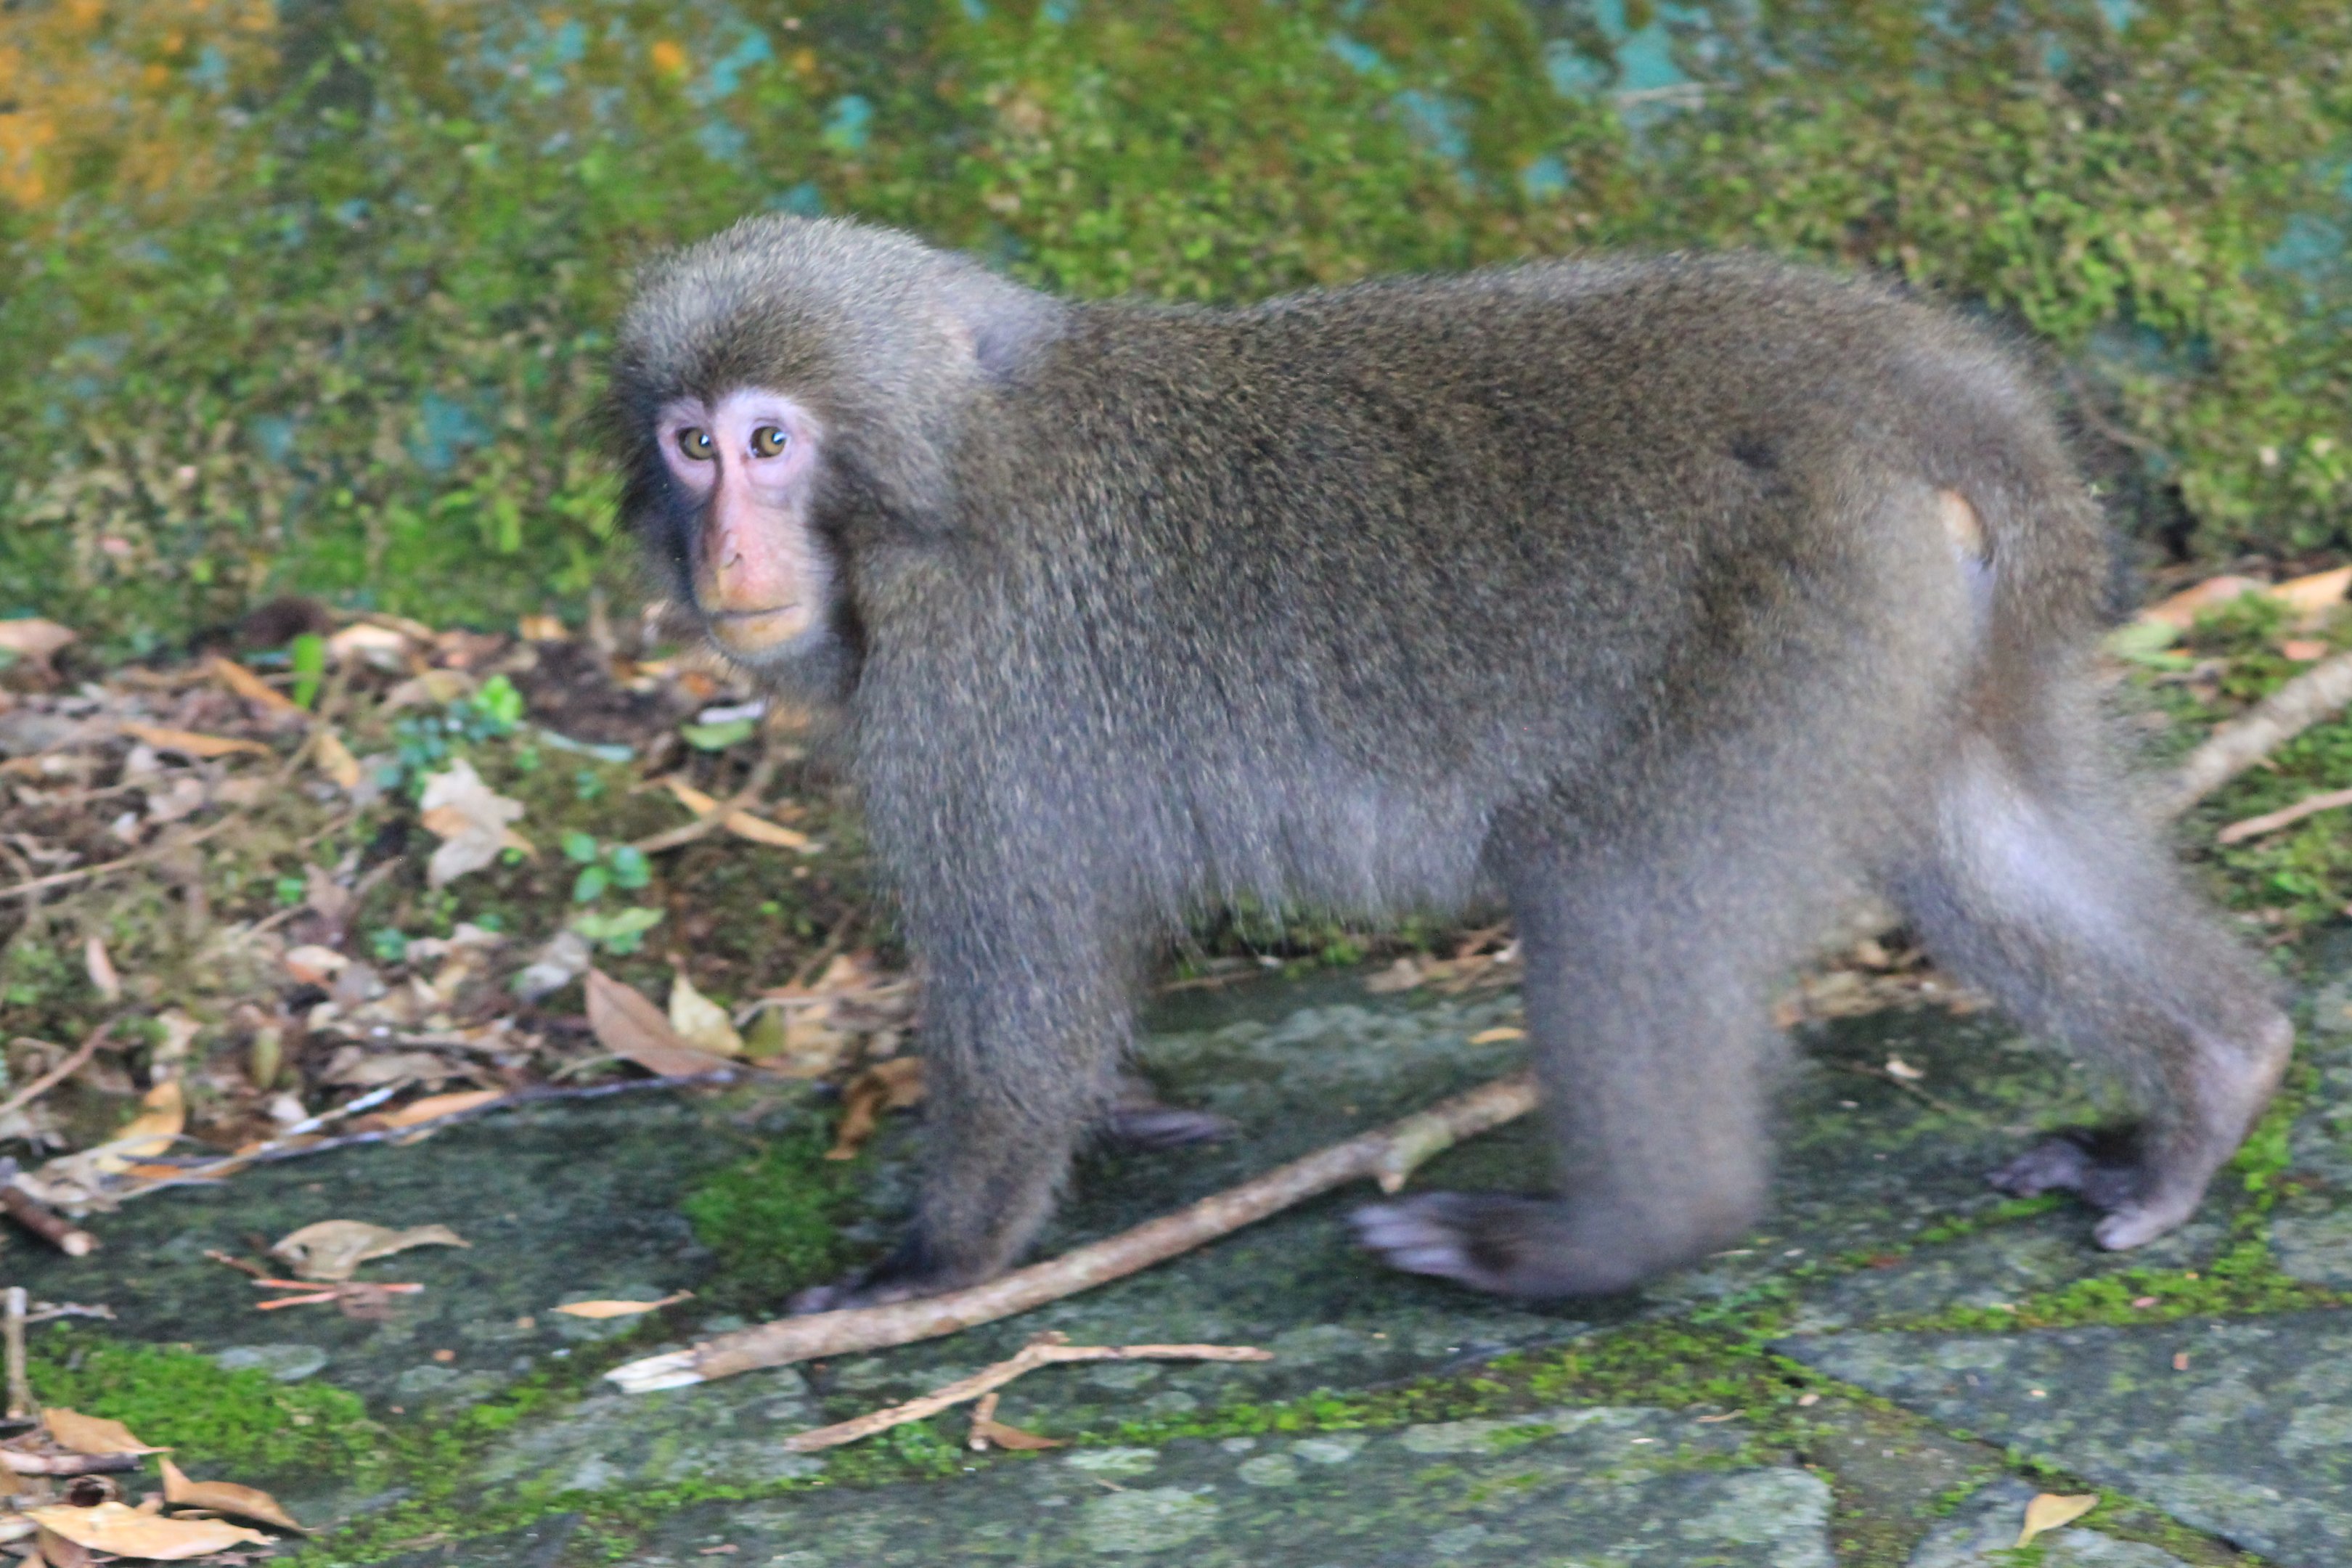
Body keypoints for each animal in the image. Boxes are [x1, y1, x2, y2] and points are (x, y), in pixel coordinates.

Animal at [606, 214, 2291, 1307]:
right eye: (690, 443)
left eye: (769, 444)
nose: (727, 551)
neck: (952, 470)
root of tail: (1933, 397)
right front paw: (1126, 1107)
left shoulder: (974, 688)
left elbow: (1021, 982)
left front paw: (936, 1265)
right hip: (1935, 619)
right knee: (1975, 822)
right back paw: (2214, 1083)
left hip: (1802, 586)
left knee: (1610, 888)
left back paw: (1606, 1242)